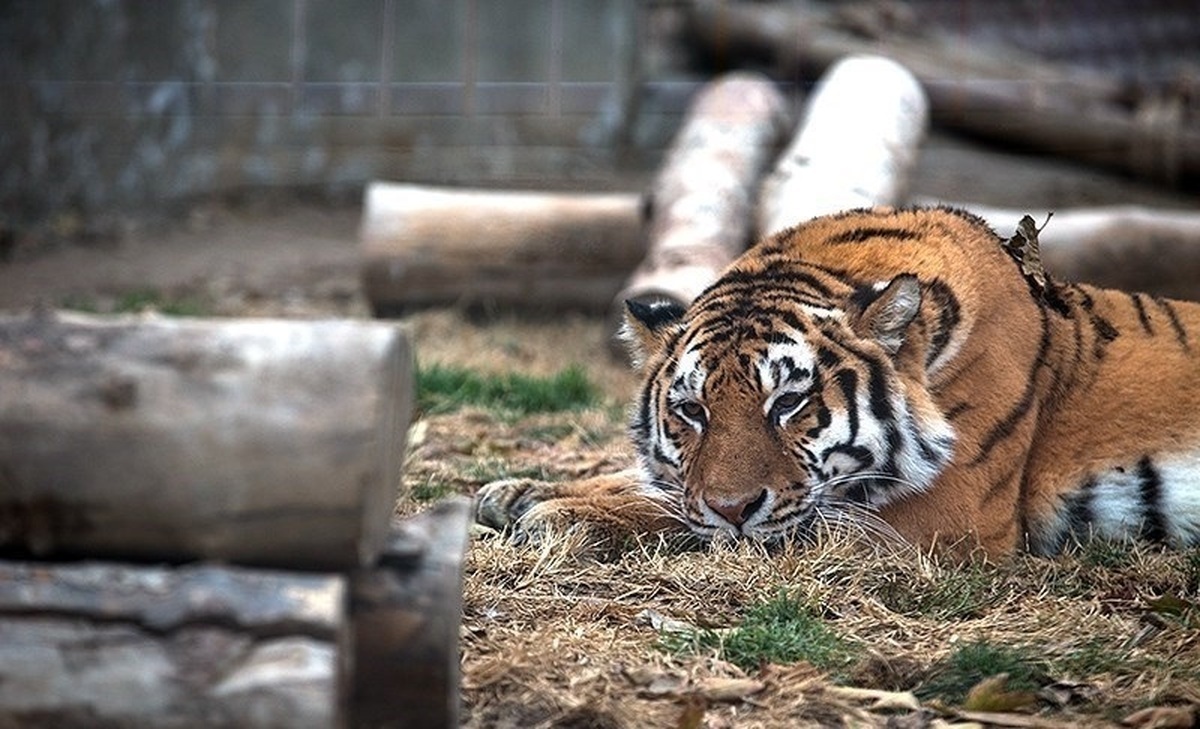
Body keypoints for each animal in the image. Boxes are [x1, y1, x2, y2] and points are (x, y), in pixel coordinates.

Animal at [475, 207, 1200, 556]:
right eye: (692, 411)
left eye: (789, 404)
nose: (732, 509)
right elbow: (663, 486)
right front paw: (519, 490)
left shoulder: (943, 519)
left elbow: (689, 516)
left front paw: (560, 513)